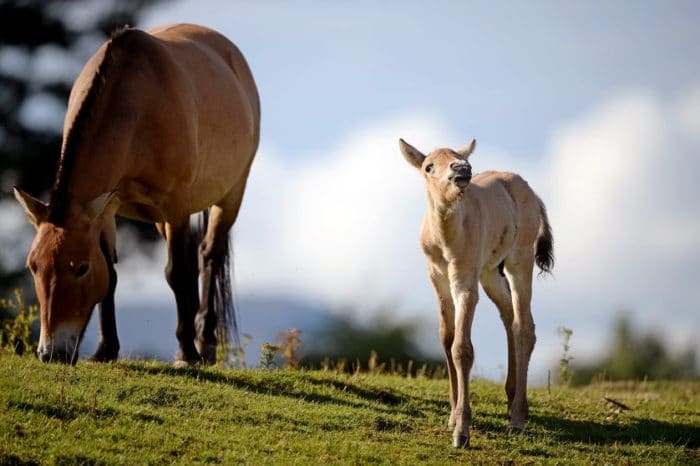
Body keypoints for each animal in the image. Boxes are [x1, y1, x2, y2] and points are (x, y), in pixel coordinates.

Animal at [13, 23, 260, 366]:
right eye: (33, 266)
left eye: (80, 268)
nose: (51, 352)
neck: (136, 104)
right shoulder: (107, 207)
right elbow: (112, 276)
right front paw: (105, 350)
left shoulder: (176, 205)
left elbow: (178, 273)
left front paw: (187, 353)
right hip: (159, 219)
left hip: (230, 195)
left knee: (210, 253)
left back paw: (205, 342)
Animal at [400, 137, 552, 448]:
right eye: (428, 166)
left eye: (461, 158)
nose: (461, 170)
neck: (446, 239)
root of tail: (533, 194)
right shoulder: (437, 277)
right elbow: (446, 337)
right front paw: (451, 415)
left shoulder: (465, 281)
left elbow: (462, 348)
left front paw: (462, 431)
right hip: (491, 272)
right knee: (509, 316)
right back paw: (511, 398)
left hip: (520, 260)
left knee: (524, 327)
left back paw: (518, 417)